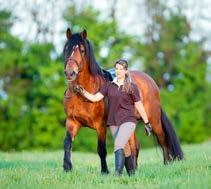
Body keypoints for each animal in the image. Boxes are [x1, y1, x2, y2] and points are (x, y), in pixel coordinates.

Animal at [62, 28, 183, 173]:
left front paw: (104, 171)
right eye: (66, 48)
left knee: (162, 140)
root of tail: (150, 81)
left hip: (154, 120)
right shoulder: (72, 122)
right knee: (135, 146)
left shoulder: (100, 125)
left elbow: (101, 149)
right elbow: (67, 143)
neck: (82, 95)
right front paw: (67, 168)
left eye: (82, 50)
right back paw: (134, 169)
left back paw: (166, 164)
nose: (70, 73)